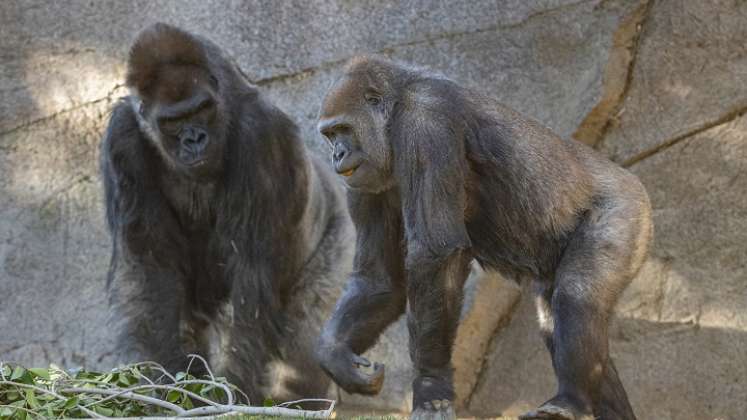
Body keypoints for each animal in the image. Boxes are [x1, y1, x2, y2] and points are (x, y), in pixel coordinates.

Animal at [99, 23, 354, 404]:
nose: (194, 139)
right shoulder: (123, 138)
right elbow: (152, 272)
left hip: (340, 236)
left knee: (303, 347)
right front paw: (170, 383)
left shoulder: (261, 134)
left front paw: (231, 393)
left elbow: (251, 280)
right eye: (172, 121)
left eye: (202, 109)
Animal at [312, 56, 652, 420]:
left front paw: (431, 385)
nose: (337, 155)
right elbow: (379, 280)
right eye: (330, 135)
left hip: (625, 208)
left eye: (343, 130)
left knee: (577, 294)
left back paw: (570, 400)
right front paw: (334, 353)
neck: (396, 105)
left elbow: (435, 254)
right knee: (556, 316)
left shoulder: (425, 119)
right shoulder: (363, 182)